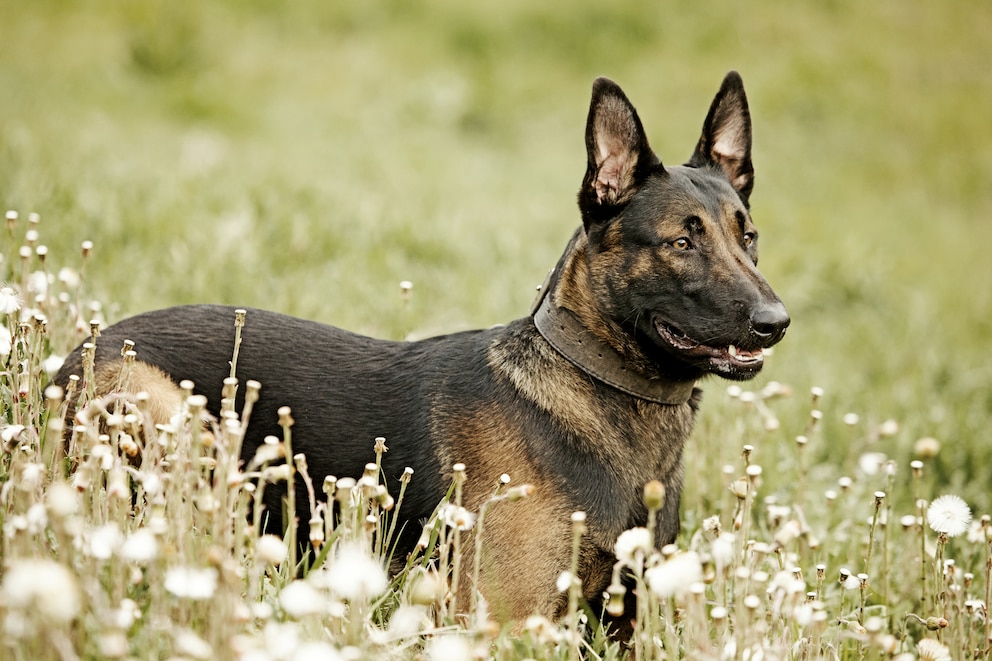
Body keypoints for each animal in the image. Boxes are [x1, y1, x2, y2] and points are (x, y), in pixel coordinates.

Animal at [56, 69, 792, 628]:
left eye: (748, 237)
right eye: (681, 242)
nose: (776, 322)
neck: (596, 386)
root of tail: (68, 358)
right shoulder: (501, 621)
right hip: (170, 417)